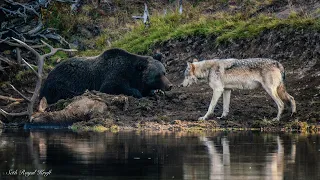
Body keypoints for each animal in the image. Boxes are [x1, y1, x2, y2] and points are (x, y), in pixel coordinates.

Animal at [41, 48, 174, 104]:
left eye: (164, 72)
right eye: (157, 75)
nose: (170, 85)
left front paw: (153, 92)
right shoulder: (114, 74)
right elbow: (112, 87)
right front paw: (137, 92)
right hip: (61, 82)